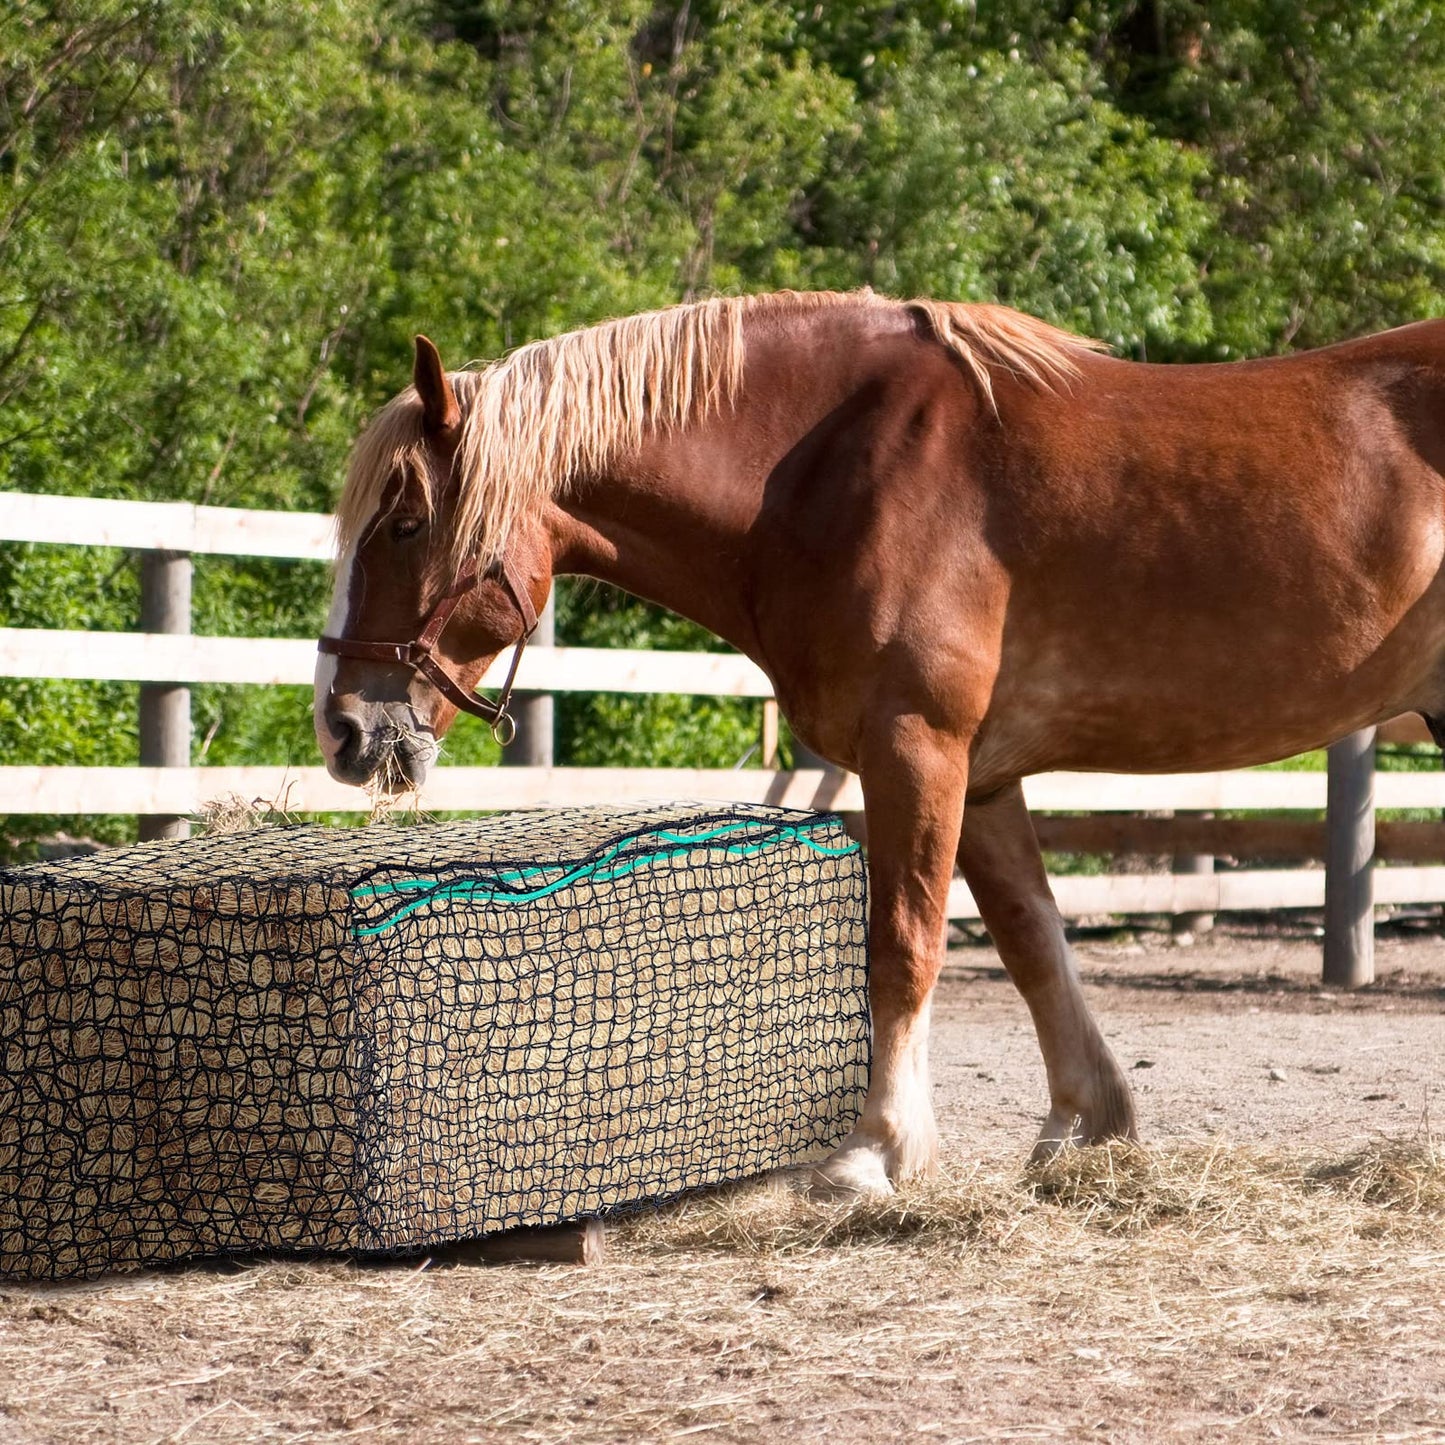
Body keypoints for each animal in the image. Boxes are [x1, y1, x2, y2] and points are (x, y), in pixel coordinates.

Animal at [314, 289, 1445, 1196]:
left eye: (405, 523)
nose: (344, 725)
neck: (824, 471)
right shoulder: (982, 778)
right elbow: (1031, 943)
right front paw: (1085, 1127)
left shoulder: (915, 748)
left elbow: (901, 946)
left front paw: (875, 1149)